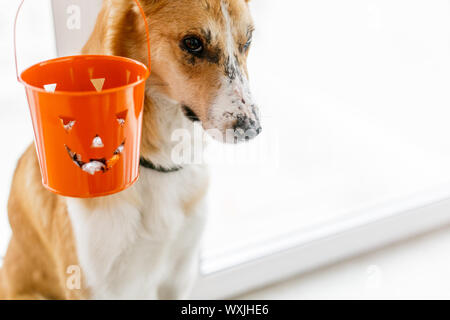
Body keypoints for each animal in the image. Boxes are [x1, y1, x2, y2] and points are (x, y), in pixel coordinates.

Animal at [0, 0, 260, 300]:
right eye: (193, 43)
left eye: (247, 41)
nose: (252, 129)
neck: (158, 163)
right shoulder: (97, 286)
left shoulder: (178, 277)